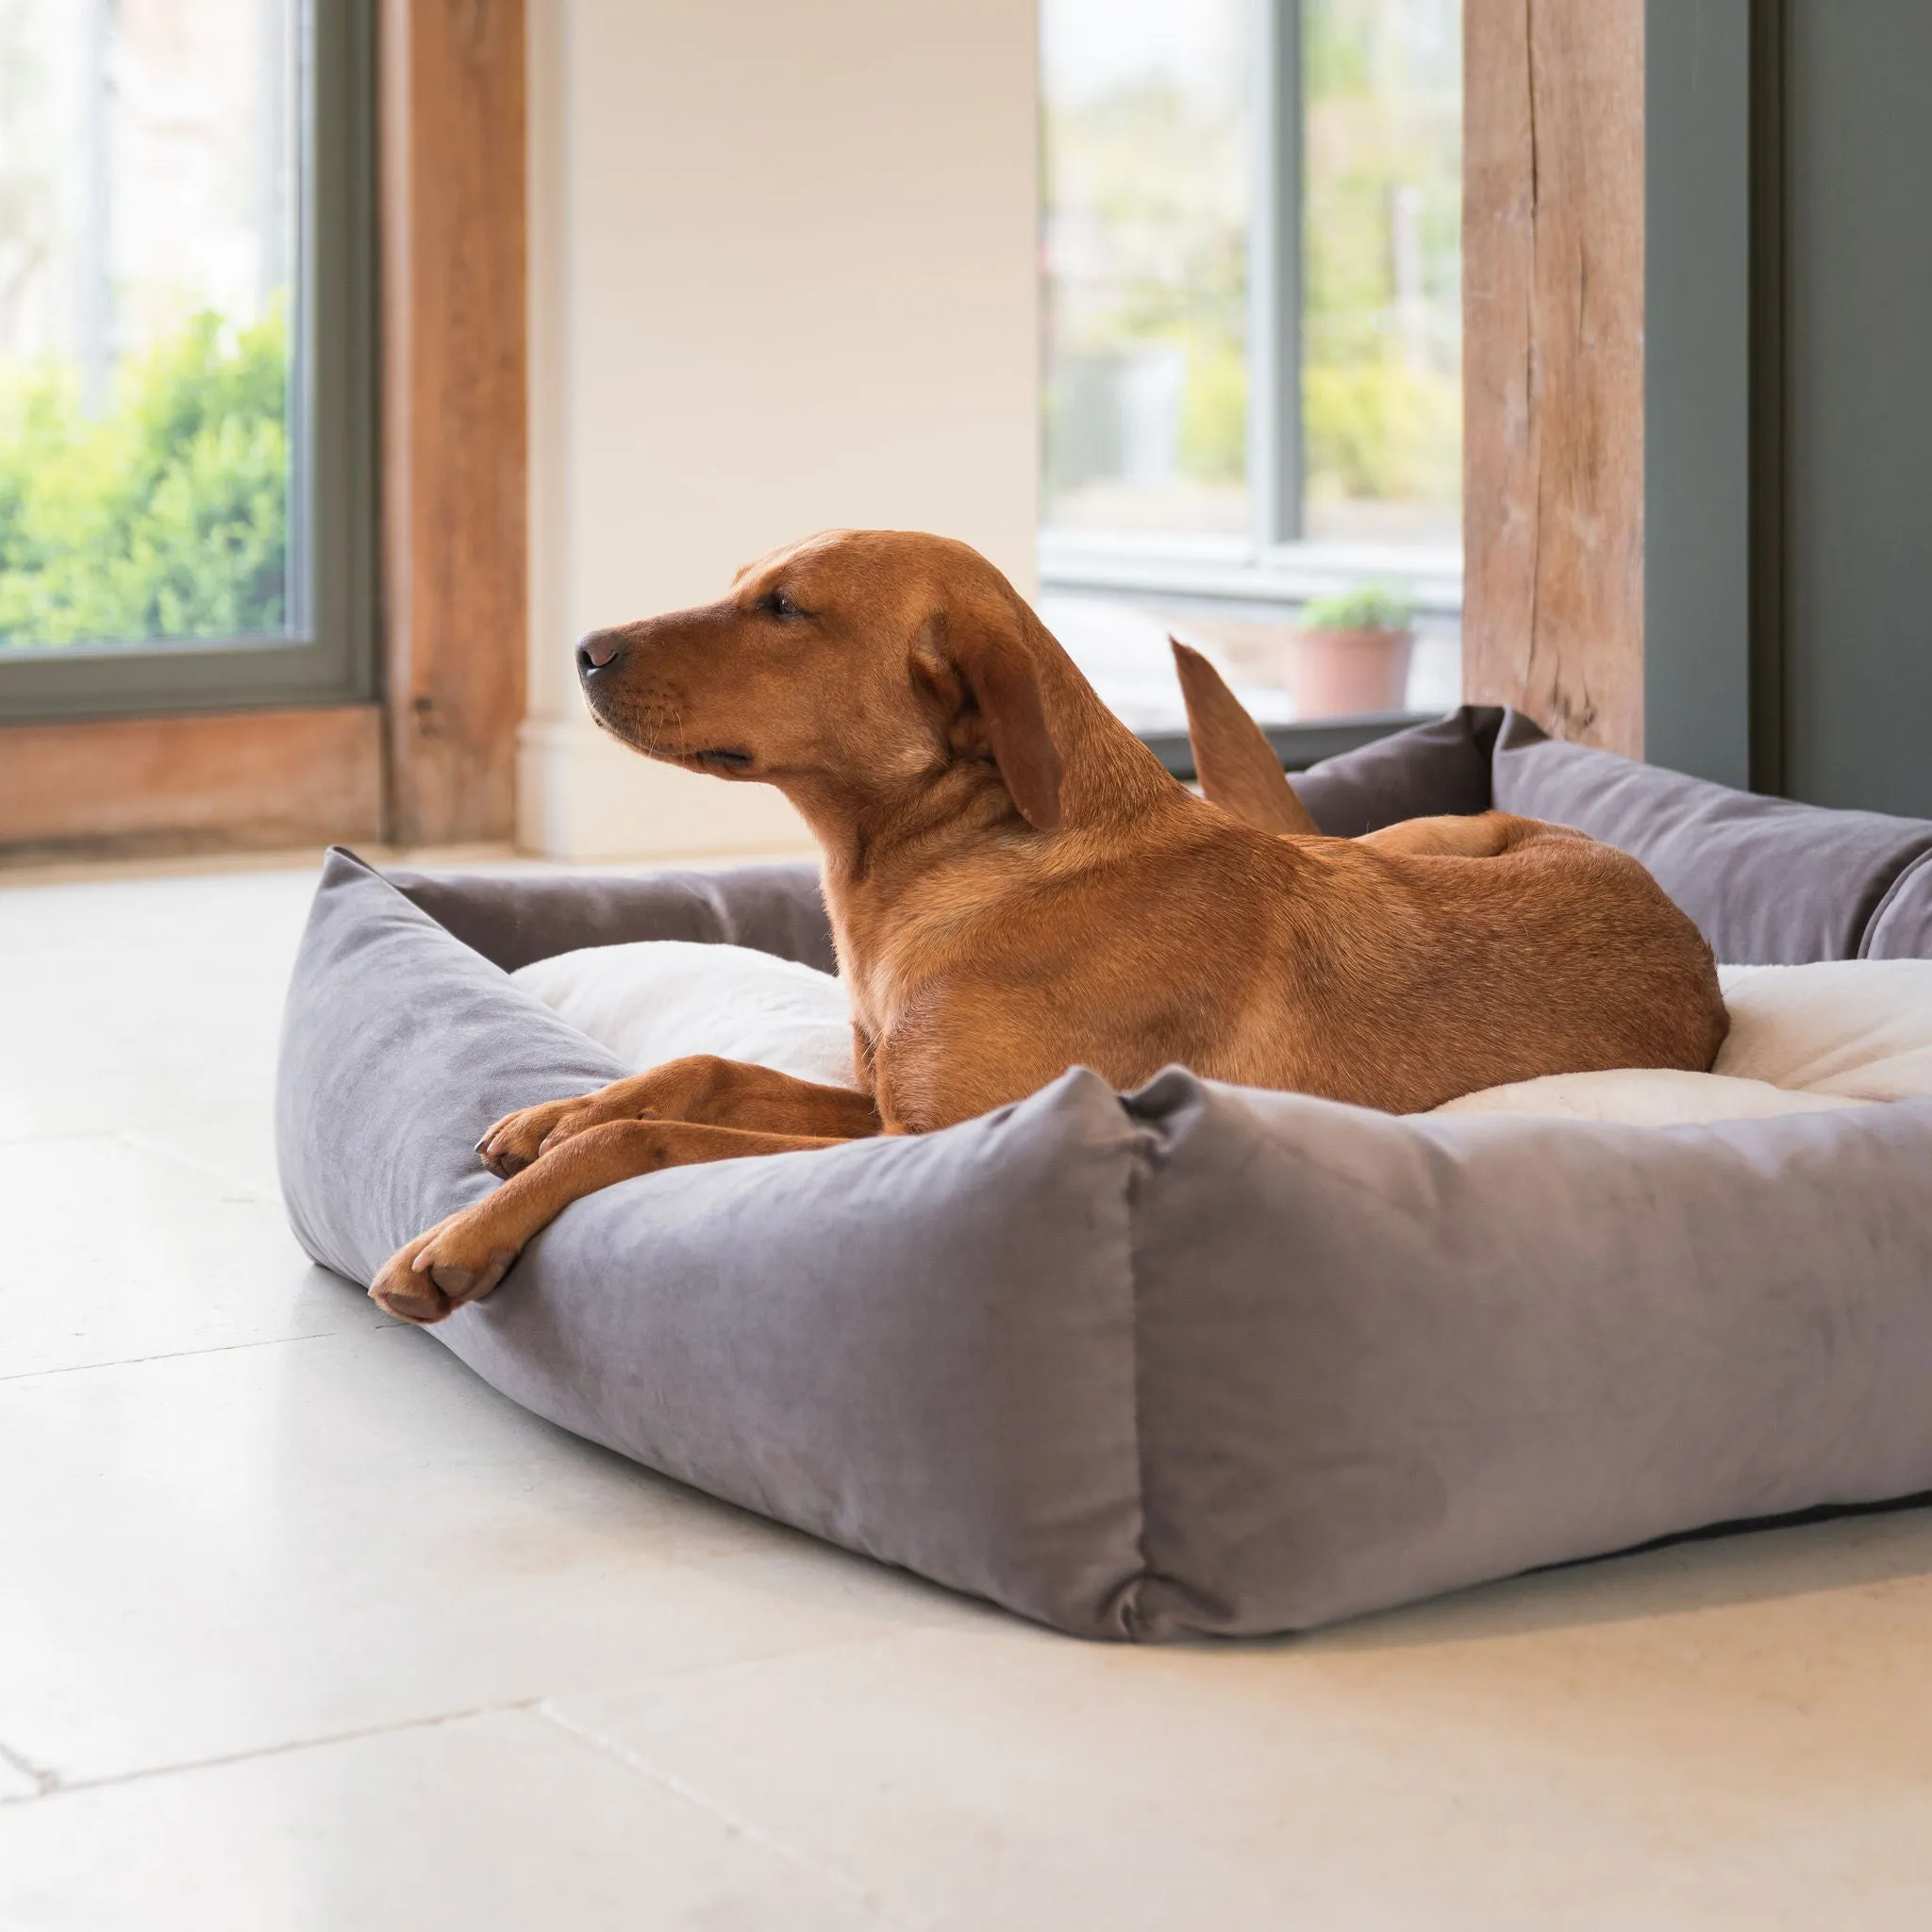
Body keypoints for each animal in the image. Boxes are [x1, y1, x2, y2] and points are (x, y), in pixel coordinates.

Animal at [369, 533, 1731, 1329]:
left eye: (786, 610)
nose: (585, 650)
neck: (949, 864)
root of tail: (1692, 937)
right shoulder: (888, 1103)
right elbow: (698, 1069)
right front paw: (553, 1111)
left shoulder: (929, 1137)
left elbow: (649, 1138)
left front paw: (465, 1235)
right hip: (1414, 834)